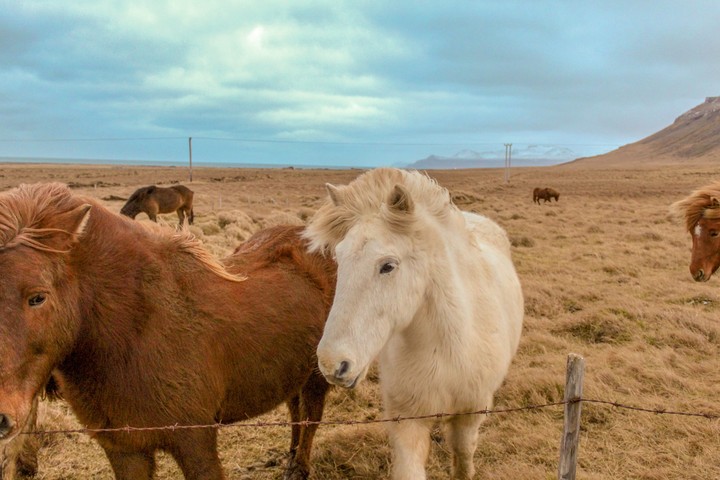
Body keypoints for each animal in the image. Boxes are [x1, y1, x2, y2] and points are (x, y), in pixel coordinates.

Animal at [0, 183, 336, 480]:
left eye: (38, 297)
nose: (1, 416)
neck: (133, 331)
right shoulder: (124, 449)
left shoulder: (195, 442)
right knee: (296, 414)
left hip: (316, 375)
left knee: (310, 418)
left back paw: (298, 467)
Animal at [303, 168, 524, 480]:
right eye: (339, 259)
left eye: (388, 266)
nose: (332, 364)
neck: (447, 349)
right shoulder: (407, 421)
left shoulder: (469, 417)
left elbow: (463, 459)